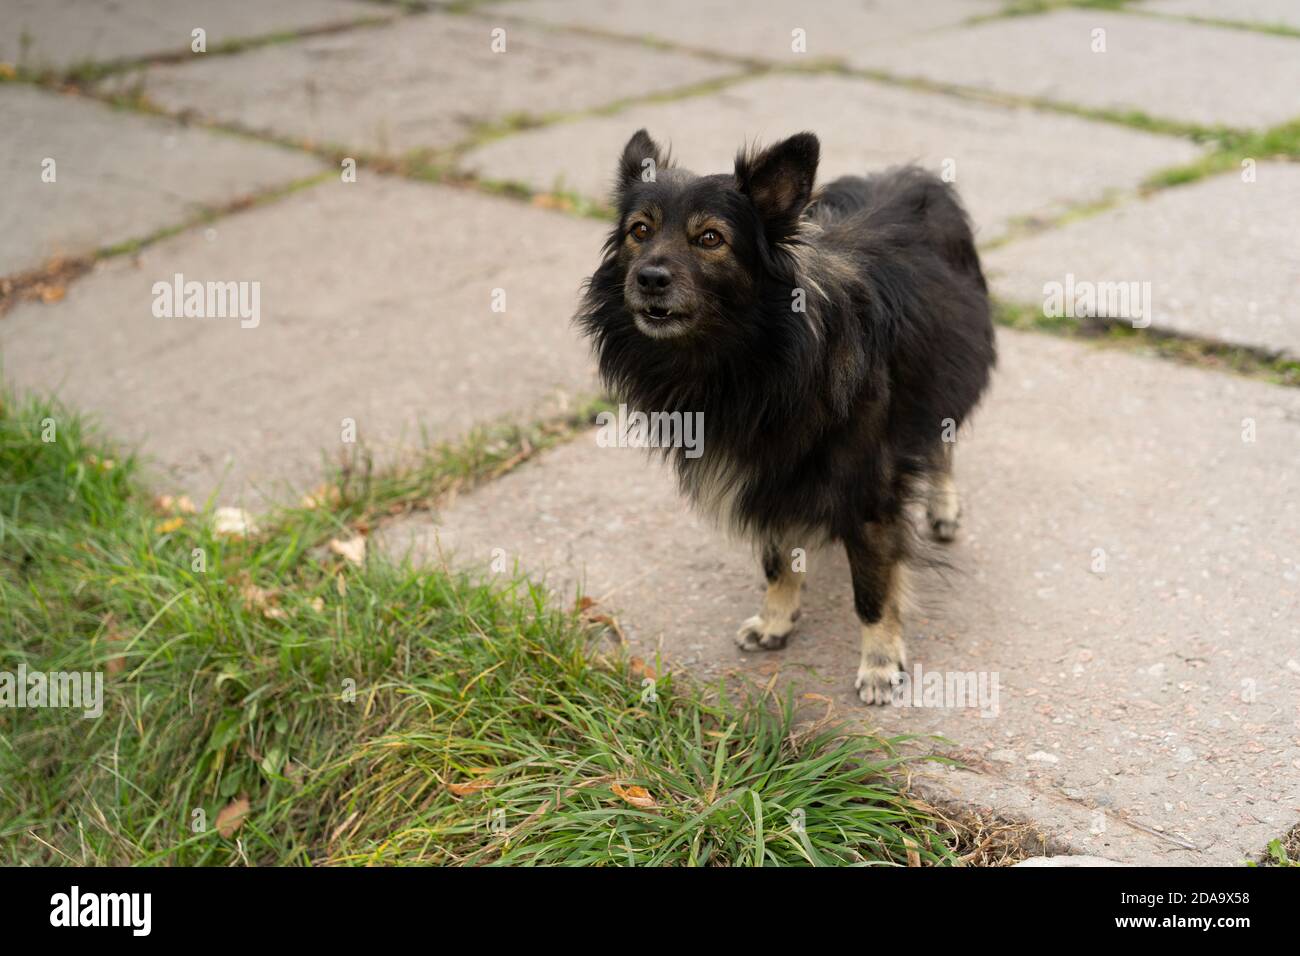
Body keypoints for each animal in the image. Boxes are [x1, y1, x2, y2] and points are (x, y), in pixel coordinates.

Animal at [577, 128, 993, 702]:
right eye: (640, 231)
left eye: (710, 238)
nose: (649, 278)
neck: (751, 357)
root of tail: (910, 173)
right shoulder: (765, 472)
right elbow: (776, 558)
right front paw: (776, 619)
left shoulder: (870, 488)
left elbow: (872, 585)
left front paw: (880, 661)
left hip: (947, 377)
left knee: (941, 441)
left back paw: (943, 504)